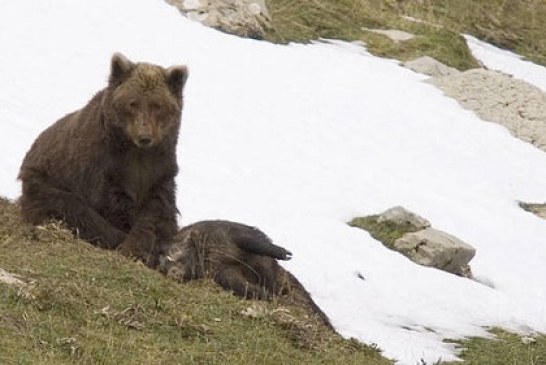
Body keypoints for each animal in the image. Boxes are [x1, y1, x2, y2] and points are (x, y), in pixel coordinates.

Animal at [18, 52, 188, 266]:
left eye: (157, 105)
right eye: (133, 103)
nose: (145, 136)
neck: (136, 152)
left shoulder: (160, 168)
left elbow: (158, 211)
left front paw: (144, 244)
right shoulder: (105, 165)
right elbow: (111, 205)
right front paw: (130, 244)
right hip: (44, 180)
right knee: (70, 208)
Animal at [159, 219, 332, 330]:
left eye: (173, 253)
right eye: (163, 268)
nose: (172, 273)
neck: (206, 253)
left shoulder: (224, 233)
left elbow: (251, 241)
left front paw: (284, 253)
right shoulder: (219, 270)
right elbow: (238, 284)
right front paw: (268, 296)